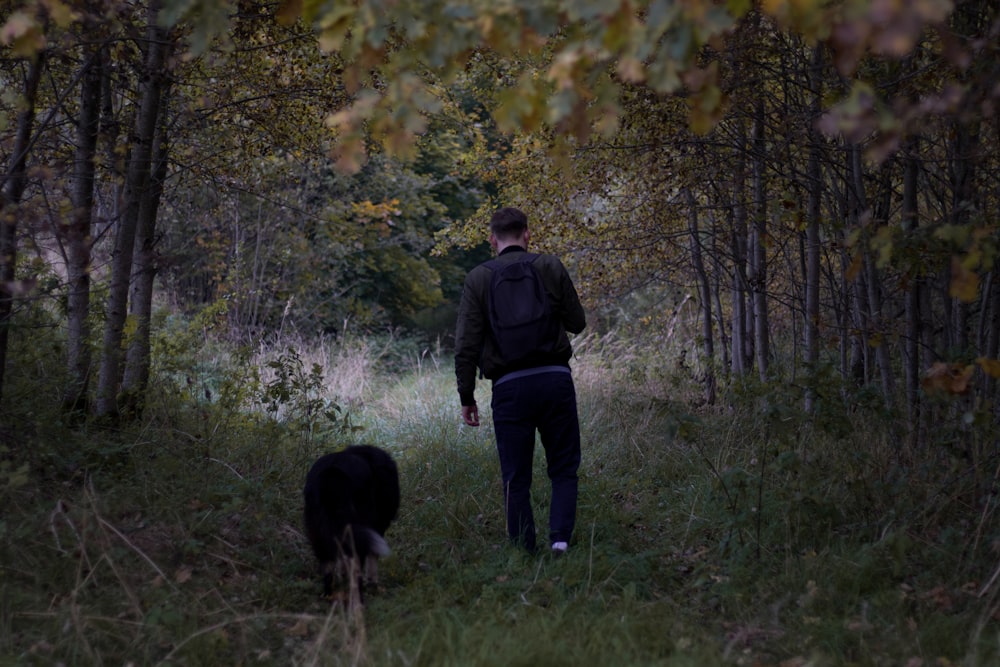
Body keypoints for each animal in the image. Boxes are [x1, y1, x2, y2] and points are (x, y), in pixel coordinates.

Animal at [302, 446, 400, 596]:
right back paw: (358, 593)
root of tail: (330, 474)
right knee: (356, 560)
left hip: (317, 529)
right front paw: (372, 583)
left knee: (328, 563)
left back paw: (328, 594)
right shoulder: (376, 524)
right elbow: (372, 557)